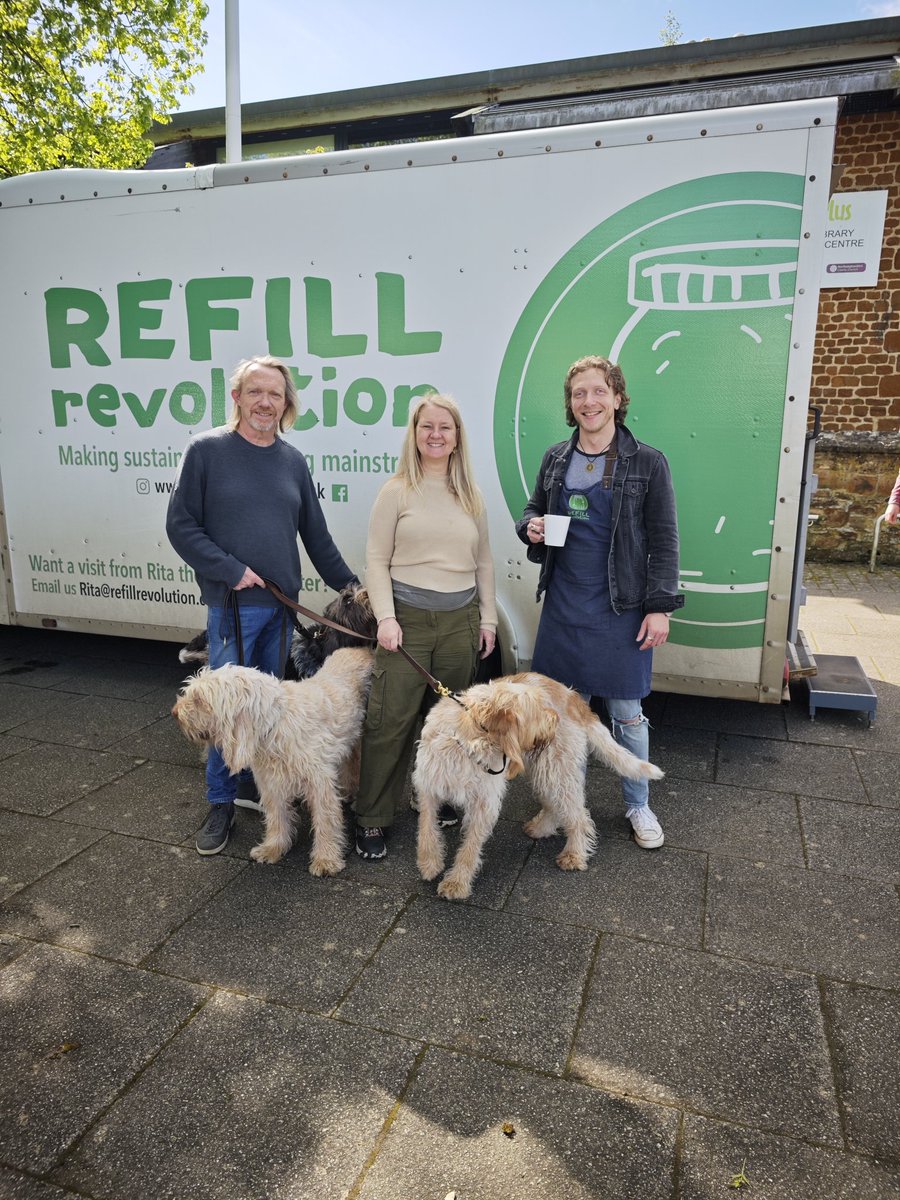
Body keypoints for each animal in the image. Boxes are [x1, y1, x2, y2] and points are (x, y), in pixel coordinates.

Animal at [172, 648, 374, 873]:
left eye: (199, 699)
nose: (175, 713)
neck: (274, 727)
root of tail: (362, 649)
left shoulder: (319, 783)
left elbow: (325, 820)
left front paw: (326, 858)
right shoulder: (271, 783)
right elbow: (276, 817)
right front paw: (273, 848)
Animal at [415, 676, 662, 902]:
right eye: (535, 709)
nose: (555, 718)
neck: (468, 740)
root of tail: (573, 697)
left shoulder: (484, 804)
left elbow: (470, 847)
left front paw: (456, 883)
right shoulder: (429, 787)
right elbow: (426, 827)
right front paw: (429, 862)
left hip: (556, 768)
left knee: (577, 814)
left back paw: (574, 854)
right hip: (541, 769)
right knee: (556, 804)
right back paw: (542, 828)